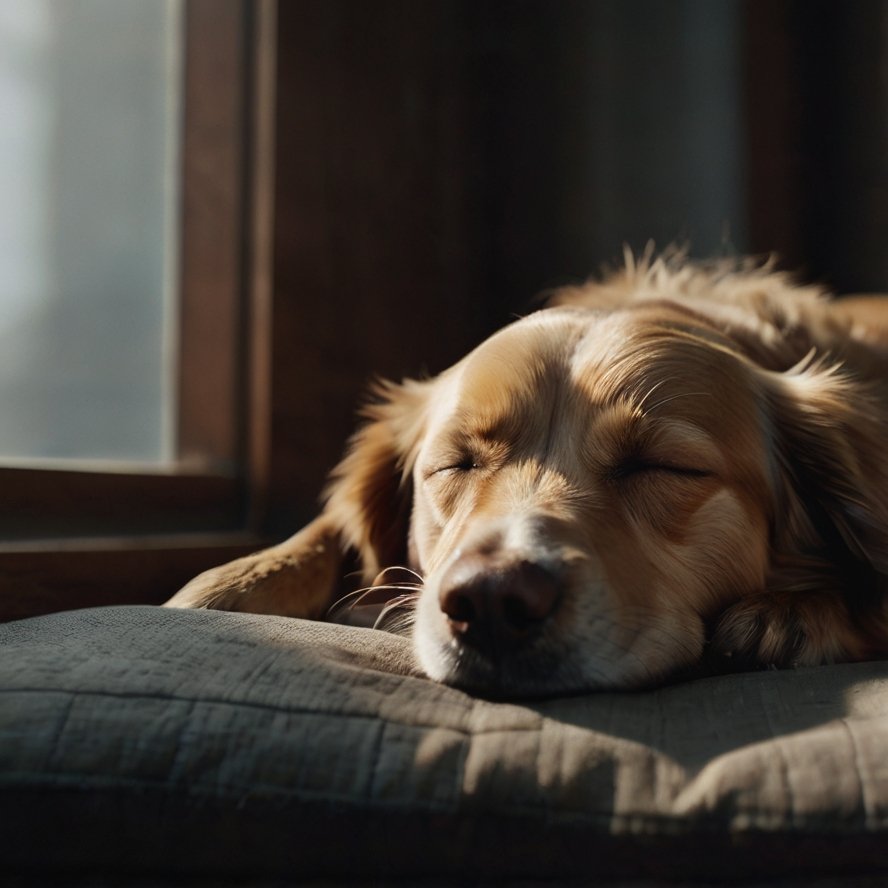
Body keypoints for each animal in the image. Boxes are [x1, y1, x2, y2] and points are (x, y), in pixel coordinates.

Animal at [166, 253, 888, 696]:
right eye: (455, 463)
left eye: (663, 465)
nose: (490, 600)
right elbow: (330, 525)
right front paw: (236, 582)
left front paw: (793, 609)